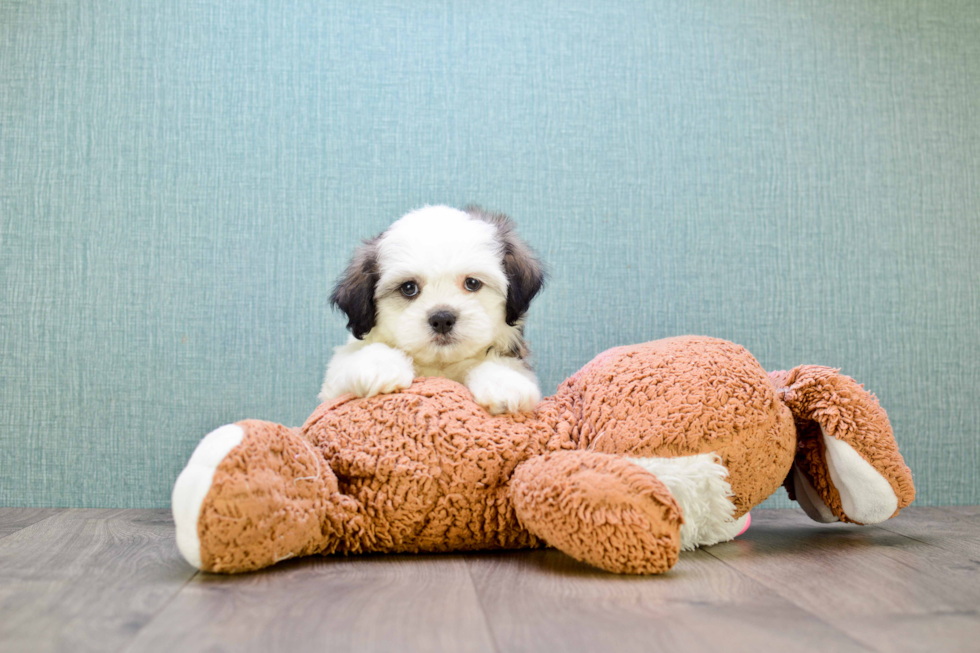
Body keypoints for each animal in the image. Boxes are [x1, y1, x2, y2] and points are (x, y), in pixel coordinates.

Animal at [324, 204, 548, 412]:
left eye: (472, 283)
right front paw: (379, 367)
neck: (440, 365)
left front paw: (504, 384)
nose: (442, 319)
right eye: (408, 288)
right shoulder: (334, 386)